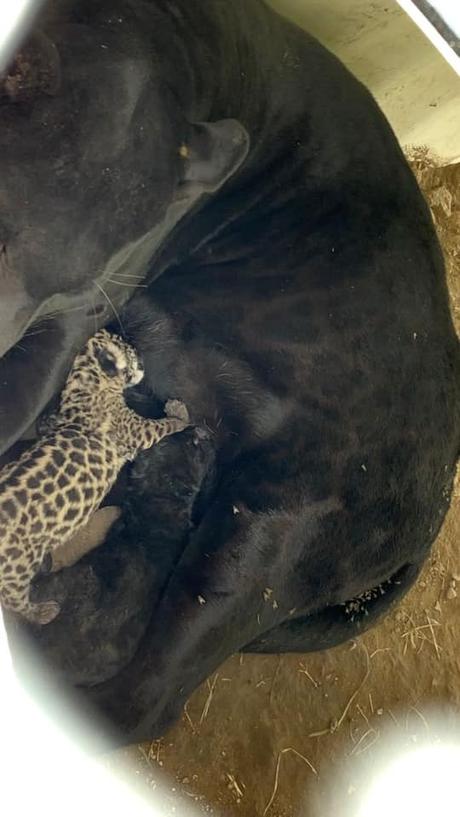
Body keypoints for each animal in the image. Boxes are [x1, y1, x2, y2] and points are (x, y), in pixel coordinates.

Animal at [0, 329, 190, 626]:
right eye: (129, 352)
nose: (143, 361)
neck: (85, 382)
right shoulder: (136, 431)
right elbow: (163, 426)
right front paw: (179, 414)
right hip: (16, 573)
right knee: (15, 601)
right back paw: (44, 612)